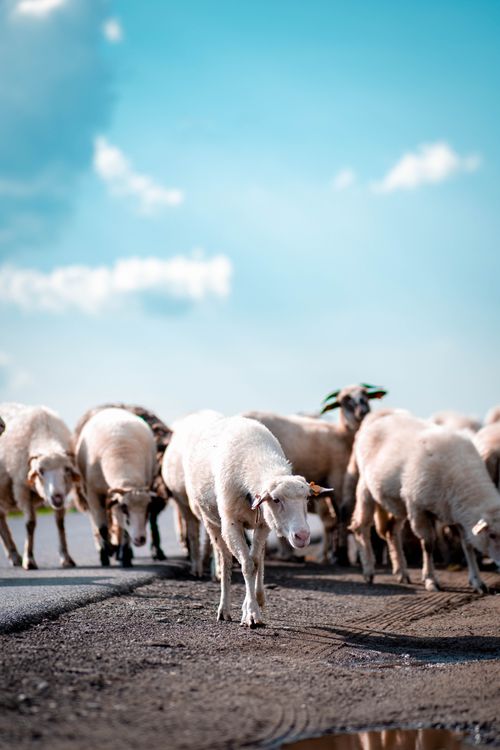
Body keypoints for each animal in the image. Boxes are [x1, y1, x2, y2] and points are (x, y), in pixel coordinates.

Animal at [0, 402, 80, 570]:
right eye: (40, 471)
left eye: (67, 469)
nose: (56, 498)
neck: (44, 430)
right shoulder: (21, 488)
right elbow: (30, 524)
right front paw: (29, 559)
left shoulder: (64, 492)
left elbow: (60, 524)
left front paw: (66, 557)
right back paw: (15, 556)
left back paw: (13, 555)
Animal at [74, 403, 172, 560]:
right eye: (125, 507)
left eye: (147, 508)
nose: (140, 539)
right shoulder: (93, 493)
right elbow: (102, 527)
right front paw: (106, 554)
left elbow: (125, 528)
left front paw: (125, 554)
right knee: (98, 522)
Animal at [182, 415, 332, 626]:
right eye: (276, 499)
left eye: (307, 498)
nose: (302, 536)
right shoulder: (231, 523)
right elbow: (247, 565)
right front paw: (251, 613)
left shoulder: (263, 524)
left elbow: (254, 561)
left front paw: (251, 605)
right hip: (211, 520)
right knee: (226, 559)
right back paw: (224, 609)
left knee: (259, 556)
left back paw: (258, 596)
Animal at [244, 383, 387, 564]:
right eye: (344, 400)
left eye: (366, 395)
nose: (363, 410)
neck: (343, 434)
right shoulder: (337, 477)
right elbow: (341, 515)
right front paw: (339, 556)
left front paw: (336, 554)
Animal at [348, 411, 500, 593]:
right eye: (492, 535)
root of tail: (378, 417)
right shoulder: (418, 508)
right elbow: (428, 544)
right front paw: (430, 580)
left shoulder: (457, 514)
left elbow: (468, 546)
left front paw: (477, 581)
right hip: (366, 487)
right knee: (360, 527)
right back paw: (369, 571)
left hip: (398, 501)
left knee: (392, 531)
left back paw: (402, 572)